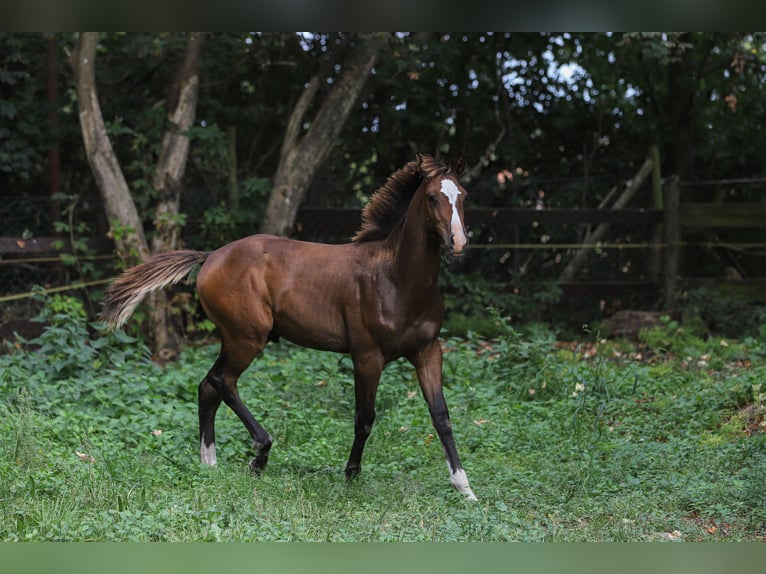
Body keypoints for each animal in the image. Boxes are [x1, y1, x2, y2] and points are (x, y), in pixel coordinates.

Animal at [100, 155, 476, 502]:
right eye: (432, 197)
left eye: (463, 196)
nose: (458, 243)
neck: (397, 279)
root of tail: (210, 256)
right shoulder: (367, 357)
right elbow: (365, 417)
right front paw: (351, 475)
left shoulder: (427, 351)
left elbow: (441, 415)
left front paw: (464, 487)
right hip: (247, 338)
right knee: (223, 381)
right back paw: (259, 454)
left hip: (235, 338)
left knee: (208, 387)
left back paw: (210, 464)